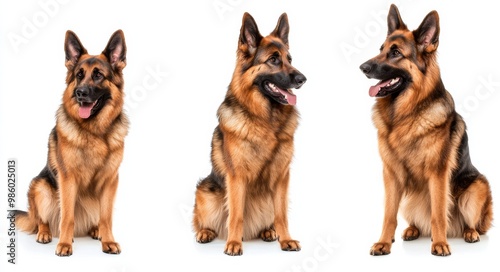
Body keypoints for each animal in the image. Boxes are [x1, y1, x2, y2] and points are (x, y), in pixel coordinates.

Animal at [14, 30, 128, 258]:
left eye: (98, 75)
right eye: (79, 75)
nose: (80, 93)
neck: (94, 132)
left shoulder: (111, 180)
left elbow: (107, 217)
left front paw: (108, 240)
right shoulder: (68, 179)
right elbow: (67, 217)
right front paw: (65, 244)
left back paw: (96, 231)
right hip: (40, 187)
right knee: (43, 220)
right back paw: (45, 233)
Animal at [192, 12, 306, 255]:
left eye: (290, 59)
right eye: (273, 60)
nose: (303, 79)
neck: (266, 121)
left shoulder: (282, 176)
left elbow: (282, 215)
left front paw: (286, 239)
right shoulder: (237, 177)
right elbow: (236, 215)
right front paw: (234, 243)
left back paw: (269, 231)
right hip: (206, 192)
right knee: (203, 220)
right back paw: (206, 232)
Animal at [360, 4, 492, 256]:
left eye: (395, 53)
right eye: (381, 49)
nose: (362, 67)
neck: (405, 114)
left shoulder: (438, 173)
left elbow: (438, 213)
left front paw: (440, 244)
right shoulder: (391, 174)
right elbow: (388, 214)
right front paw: (384, 242)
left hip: (476, 189)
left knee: (472, 223)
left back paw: (468, 233)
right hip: (410, 199)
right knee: (417, 221)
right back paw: (412, 230)